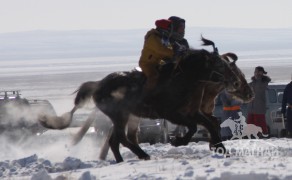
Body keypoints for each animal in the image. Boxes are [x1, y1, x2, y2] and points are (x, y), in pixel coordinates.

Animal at [41, 37, 242, 163]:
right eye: (219, 64)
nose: (235, 82)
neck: (181, 79)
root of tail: (99, 85)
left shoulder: (192, 112)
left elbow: (210, 124)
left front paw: (220, 148)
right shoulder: (173, 114)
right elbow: (194, 127)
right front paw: (178, 141)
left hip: (126, 116)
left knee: (116, 140)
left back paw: (124, 159)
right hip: (120, 115)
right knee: (120, 138)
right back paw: (142, 154)